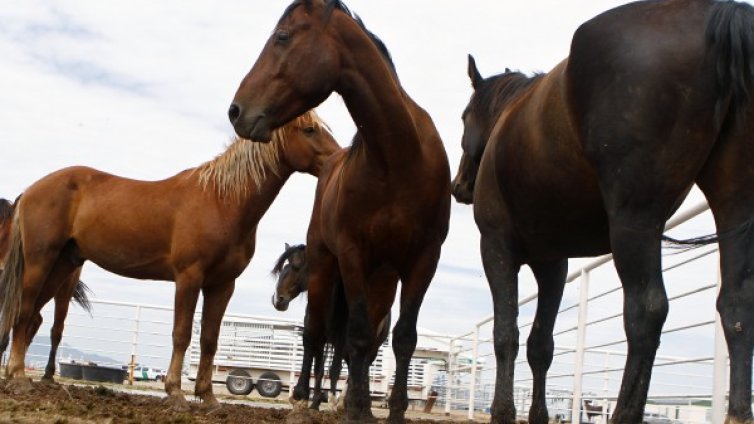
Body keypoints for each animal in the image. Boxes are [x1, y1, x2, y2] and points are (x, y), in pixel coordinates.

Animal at [270, 242, 388, 410]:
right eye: (284, 267)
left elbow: (334, 369)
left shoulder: (340, 341)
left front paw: (331, 400)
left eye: (296, 266)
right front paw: (314, 403)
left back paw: (345, 402)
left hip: (371, 349)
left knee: (358, 371)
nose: (278, 300)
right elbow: (318, 370)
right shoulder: (318, 338)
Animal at [450, 1, 752, 422]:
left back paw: (625, 412)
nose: (458, 186)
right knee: (736, 306)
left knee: (647, 310)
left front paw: (503, 411)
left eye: (464, 117)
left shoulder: (495, 247)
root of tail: (724, 12)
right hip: (735, 206)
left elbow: (505, 334)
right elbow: (540, 344)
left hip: (635, 220)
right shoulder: (553, 264)